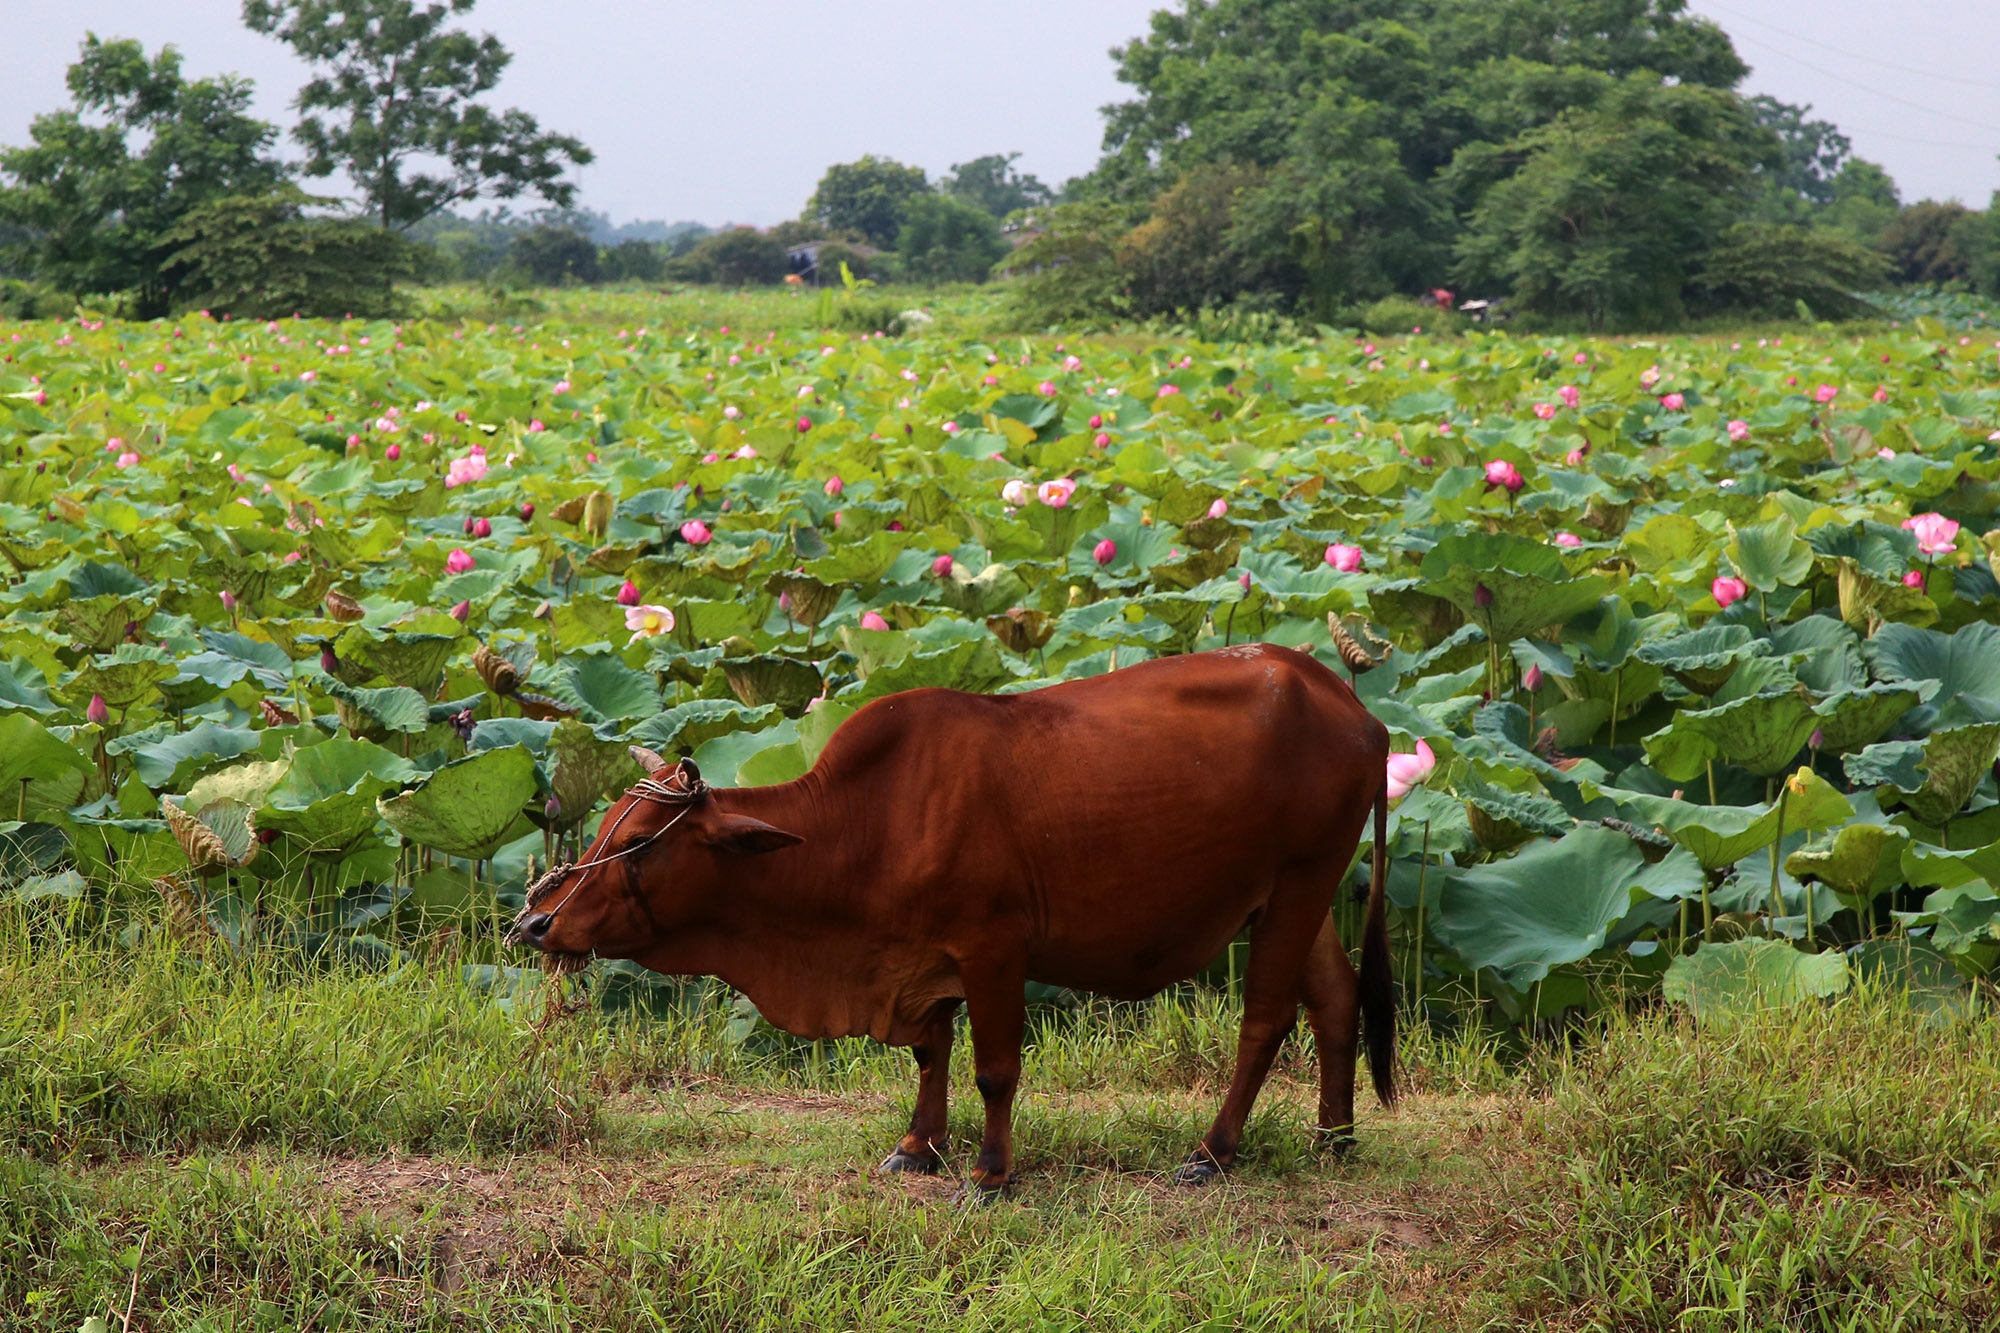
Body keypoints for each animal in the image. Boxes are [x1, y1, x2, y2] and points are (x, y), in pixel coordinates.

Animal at [512, 640, 1392, 1184]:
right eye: (606, 823)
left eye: (642, 842)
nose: (536, 922)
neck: (864, 822)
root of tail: (1358, 708)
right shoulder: (918, 956)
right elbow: (928, 1052)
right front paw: (916, 1146)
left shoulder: (993, 947)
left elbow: (994, 1067)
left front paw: (991, 1171)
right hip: (1299, 894)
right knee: (1335, 997)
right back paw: (1335, 1137)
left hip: (1300, 883)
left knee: (1266, 1017)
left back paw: (1213, 1151)